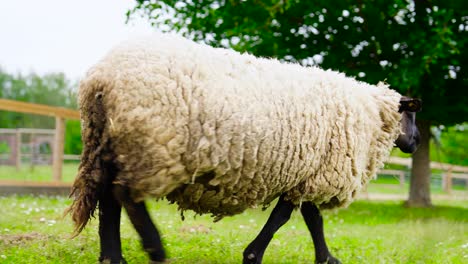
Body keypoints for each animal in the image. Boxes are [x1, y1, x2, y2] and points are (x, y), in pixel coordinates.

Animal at [67, 33, 422, 264]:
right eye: (412, 113)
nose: (417, 142)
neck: (372, 116)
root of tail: (101, 79)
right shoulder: (316, 173)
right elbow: (289, 218)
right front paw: (254, 254)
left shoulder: (309, 173)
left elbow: (310, 218)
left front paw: (325, 258)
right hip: (151, 144)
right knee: (125, 195)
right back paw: (155, 249)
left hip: (115, 144)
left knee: (108, 197)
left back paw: (112, 258)